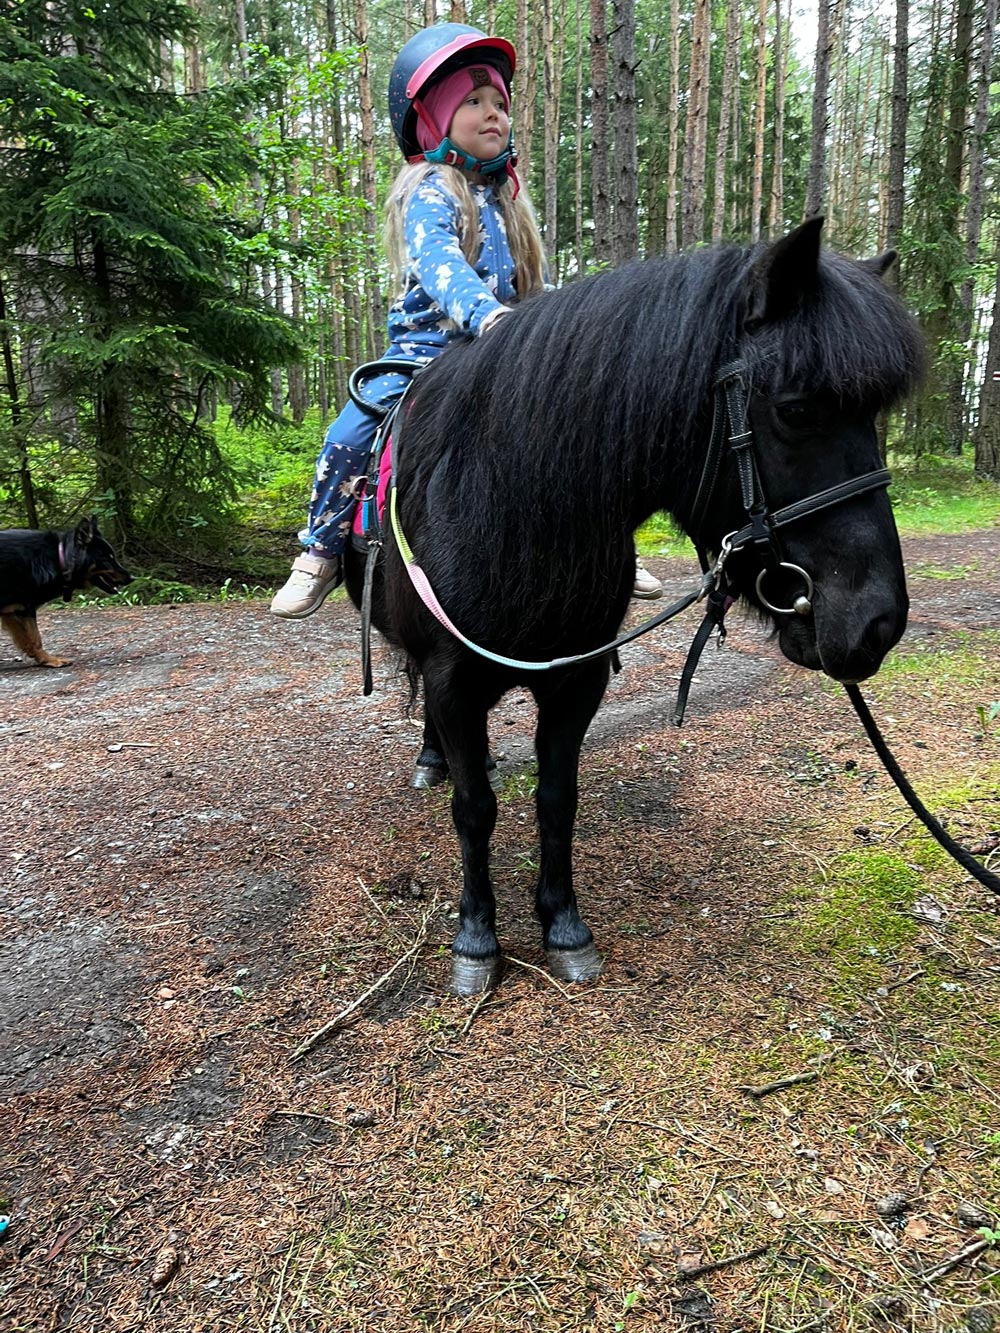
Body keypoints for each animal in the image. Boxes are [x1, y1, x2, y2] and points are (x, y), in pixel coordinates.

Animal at [343, 218, 924, 995]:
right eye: (798, 410)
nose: (878, 621)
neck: (504, 504)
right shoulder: (453, 679)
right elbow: (474, 810)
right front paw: (477, 940)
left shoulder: (577, 680)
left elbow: (557, 798)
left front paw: (564, 927)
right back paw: (433, 758)